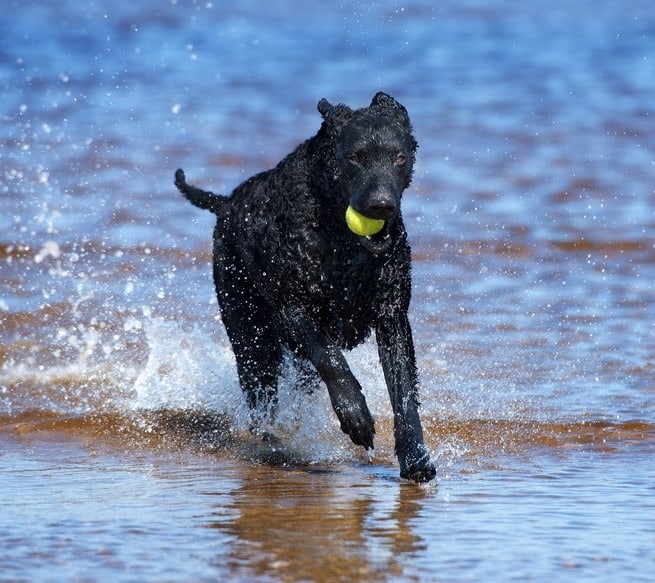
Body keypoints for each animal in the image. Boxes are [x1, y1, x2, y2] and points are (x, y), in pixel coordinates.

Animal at [177, 92, 438, 484]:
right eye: (355, 157)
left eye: (399, 157)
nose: (382, 205)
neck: (341, 239)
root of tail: (227, 203)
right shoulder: (293, 309)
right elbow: (332, 360)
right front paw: (355, 415)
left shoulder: (392, 317)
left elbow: (404, 394)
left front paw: (416, 458)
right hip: (251, 336)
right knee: (261, 398)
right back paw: (272, 443)